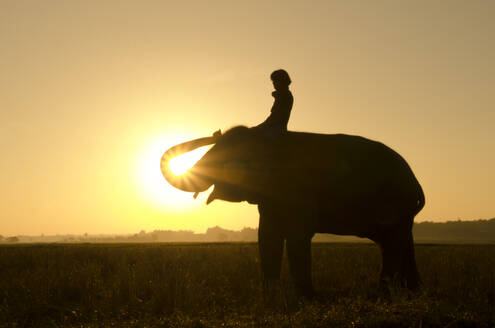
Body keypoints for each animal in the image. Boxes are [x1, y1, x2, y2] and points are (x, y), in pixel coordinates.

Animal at [161, 126, 424, 298]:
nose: (214, 133)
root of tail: (414, 180)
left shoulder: (299, 193)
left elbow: (298, 237)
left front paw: (306, 296)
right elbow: (267, 237)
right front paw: (269, 296)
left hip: (393, 203)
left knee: (392, 244)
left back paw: (383, 292)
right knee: (397, 241)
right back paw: (411, 291)